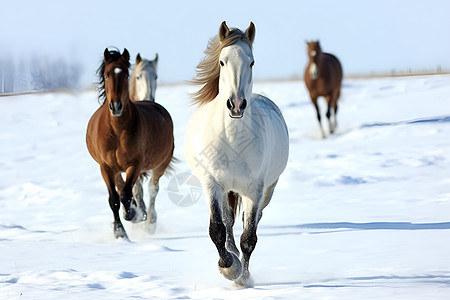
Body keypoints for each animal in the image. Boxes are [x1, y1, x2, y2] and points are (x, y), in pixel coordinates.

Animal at [85, 49, 175, 241]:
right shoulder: (106, 167)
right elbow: (114, 199)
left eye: (126, 74)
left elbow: (127, 194)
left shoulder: (135, 164)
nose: (116, 106)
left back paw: (149, 221)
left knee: (152, 189)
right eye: (106, 74)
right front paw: (120, 232)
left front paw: (134, 215)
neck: (117, 130)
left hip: (160, 164)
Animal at [185, 21, 290, 288]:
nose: (236, 104)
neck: (233, 139)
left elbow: (249, 237)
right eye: (222, 61)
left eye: (251, 62)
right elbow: (217, 229)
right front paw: (229, 267)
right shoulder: (211, 184)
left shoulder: (255, 189)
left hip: (266, 190)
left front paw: (243, 278)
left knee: (248, 222)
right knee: (228, 221)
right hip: (225, 190)